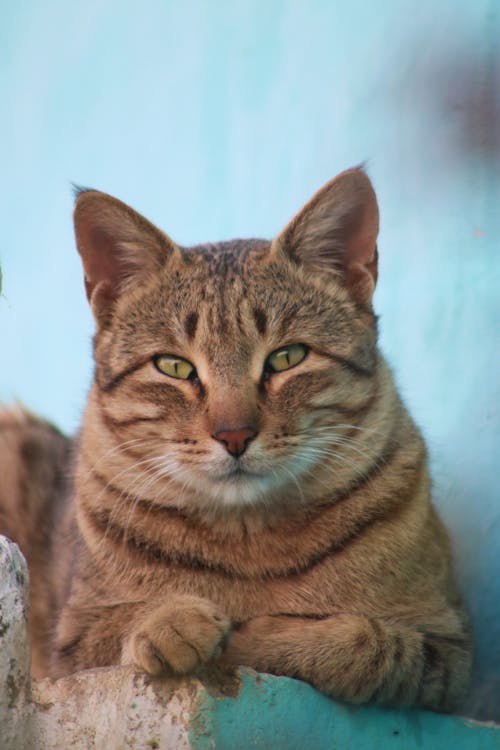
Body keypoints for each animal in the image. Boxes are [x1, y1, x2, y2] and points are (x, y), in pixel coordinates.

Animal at [0, 169, 472, 712]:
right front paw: (171, 621)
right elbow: (118, 624)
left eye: (287, 357)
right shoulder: (72, 640)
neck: (250, 542)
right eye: (174, 366)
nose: (234, 435)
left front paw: (256, 634)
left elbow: (364, 643)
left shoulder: (448, 648)